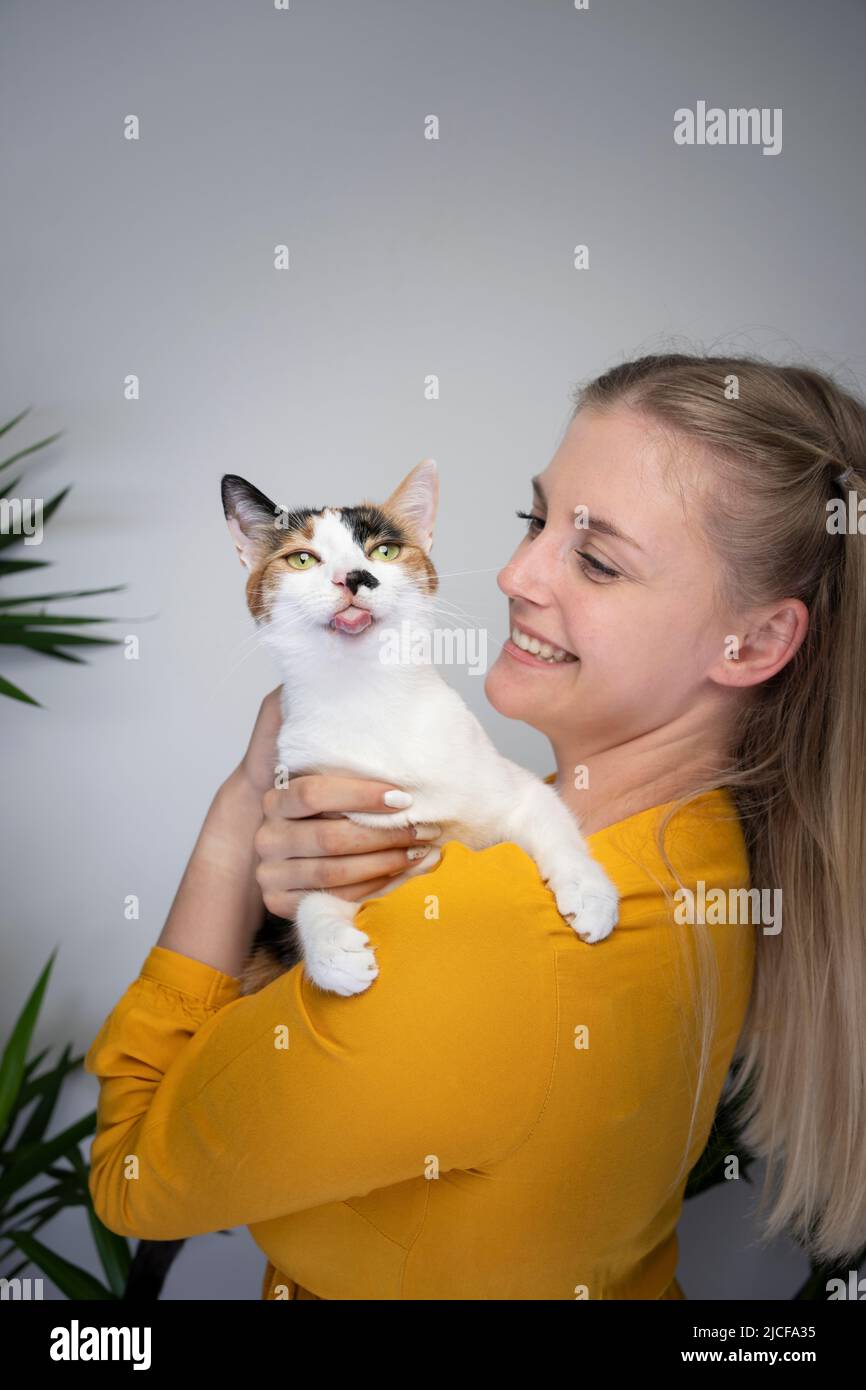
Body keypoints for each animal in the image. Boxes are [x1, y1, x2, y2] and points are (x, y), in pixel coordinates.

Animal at [223, 458, 617, 1000]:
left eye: (384, 551)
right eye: (302, 559)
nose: (355, 577)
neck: (370, 694)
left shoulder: (511, 788)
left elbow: (549, 817)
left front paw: (588, 890)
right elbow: (309, 899)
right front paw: (330, 951)